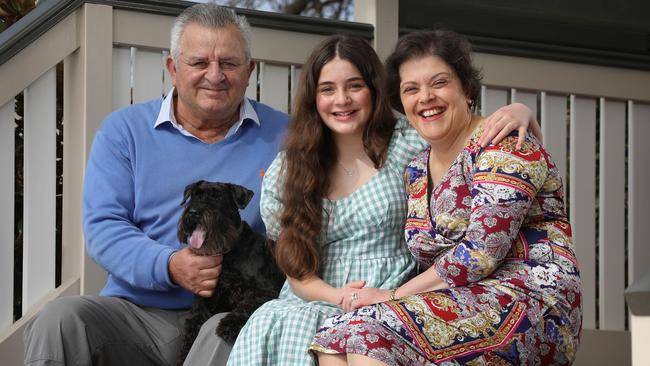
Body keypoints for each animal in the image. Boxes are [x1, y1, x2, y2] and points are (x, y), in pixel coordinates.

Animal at [175, 180, 284, 364]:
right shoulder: (206, 295)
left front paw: (228, 325)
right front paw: (185, 350)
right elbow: (195, 318)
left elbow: (247, 304)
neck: (227, 252)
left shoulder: (265, 291)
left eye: (218, 196)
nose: (194, 212)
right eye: (195, 195)